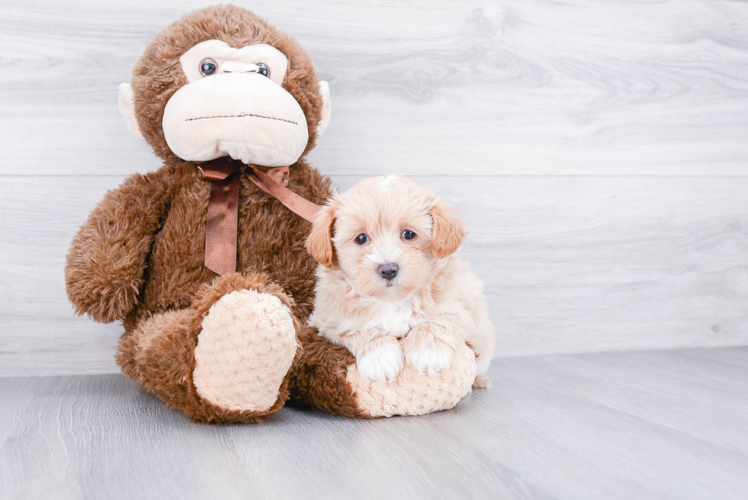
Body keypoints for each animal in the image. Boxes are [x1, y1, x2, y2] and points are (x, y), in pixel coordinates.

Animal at [306, 176, 494, 386]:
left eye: (409, 234)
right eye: (361, 238)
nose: (388, 269)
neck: (392, 300)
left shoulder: (459, 304)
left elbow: (442, 318)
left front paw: (429, 352)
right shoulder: (330, 321)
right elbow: (361, 329)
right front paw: (380, 358)